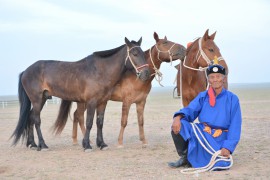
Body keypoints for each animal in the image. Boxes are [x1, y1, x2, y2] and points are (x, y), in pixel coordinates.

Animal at [10, 37, 150, 152]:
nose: (146, 74)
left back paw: (32, 144)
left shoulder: (103, 102)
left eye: (144, 53)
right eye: (134, 53)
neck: (99, 71)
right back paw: (43, 145)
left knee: (30, 117)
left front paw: (102, 144)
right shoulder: (91, 102)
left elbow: (100, 123)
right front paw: (87, 145)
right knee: (36, 120)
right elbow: (89, 122)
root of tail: (26, 71)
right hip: (37, 99)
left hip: (42, 99)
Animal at [53, 32, 187, 148]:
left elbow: (141, 121)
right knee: (79, 116)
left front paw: (144, 141)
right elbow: (124, 121)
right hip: (84, 102)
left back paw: (76, 140)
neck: (135, 75)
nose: (184, 49)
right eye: (165, 43)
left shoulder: (141, 102)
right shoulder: (126, 101)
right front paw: (120, 142)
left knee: (76, 115)